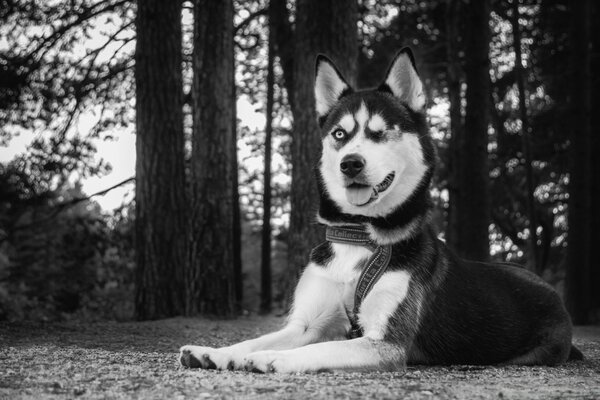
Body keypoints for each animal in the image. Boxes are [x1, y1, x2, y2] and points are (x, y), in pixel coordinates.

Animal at [179, 48, 580, 374]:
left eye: (380, 132)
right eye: (339, 135)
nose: (350, 164)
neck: (358, 235)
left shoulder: (385, 342)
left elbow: (321, 348)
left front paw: (268, 358)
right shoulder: (305, 324)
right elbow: (258, 339)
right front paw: (215, 352)